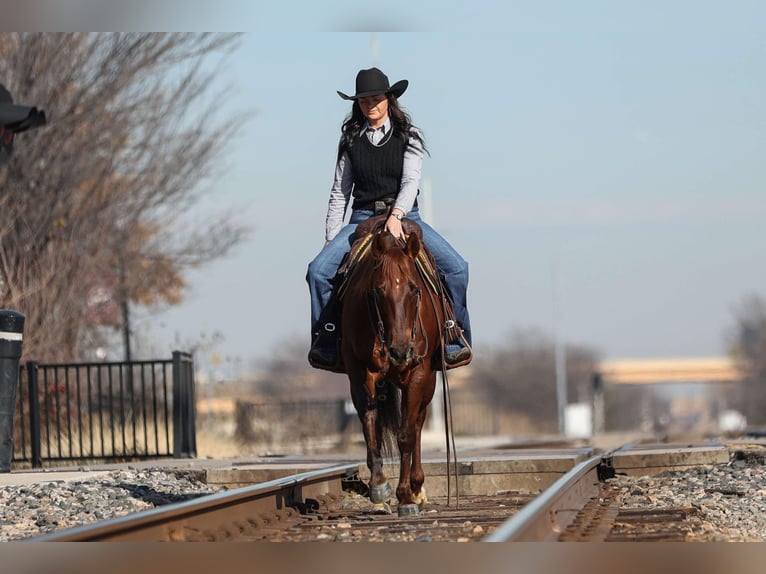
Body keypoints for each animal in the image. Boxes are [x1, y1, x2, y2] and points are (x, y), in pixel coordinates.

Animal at [340, 222, 444, 516]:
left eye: (415, 289)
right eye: (377, 291)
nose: (400, 350)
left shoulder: (419, 371)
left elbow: (406, 434)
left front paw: (406, 496)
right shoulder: (360, 371)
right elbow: (369, 422)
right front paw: (379, 486)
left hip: (427, 382)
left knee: (417, 423)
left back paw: (417, 489)